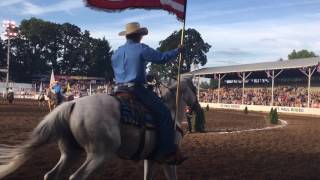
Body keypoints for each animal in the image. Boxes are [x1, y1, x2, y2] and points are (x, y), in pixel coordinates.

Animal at [0, 77, 200, 180]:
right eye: (194, 90)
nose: (195, 107)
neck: (170, 111)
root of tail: (73, 104)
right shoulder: (168, 159)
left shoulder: (150, 158)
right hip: (100, 155)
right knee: (76, 177)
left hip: (71, 153)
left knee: (51, 175)